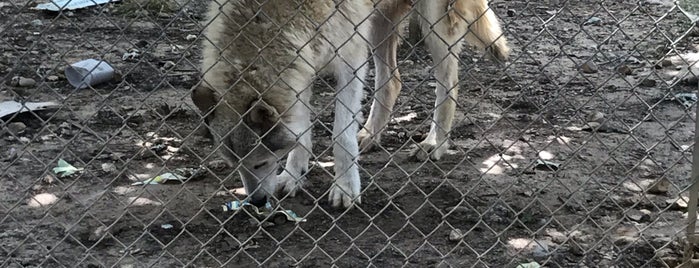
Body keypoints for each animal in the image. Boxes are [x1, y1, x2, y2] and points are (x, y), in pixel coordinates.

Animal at [194, 0, 512, 208]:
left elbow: (340, 135)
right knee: (392, 81)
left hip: (432, 24)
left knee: (448, 82)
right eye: (234, 165)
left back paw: (435, 143)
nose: (257, 201)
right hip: (376, 25)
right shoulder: (302, 67)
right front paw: (293, 176)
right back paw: (370, 135)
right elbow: (301, 134)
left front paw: (345, 188)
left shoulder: (350, 58)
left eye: (259, 162)